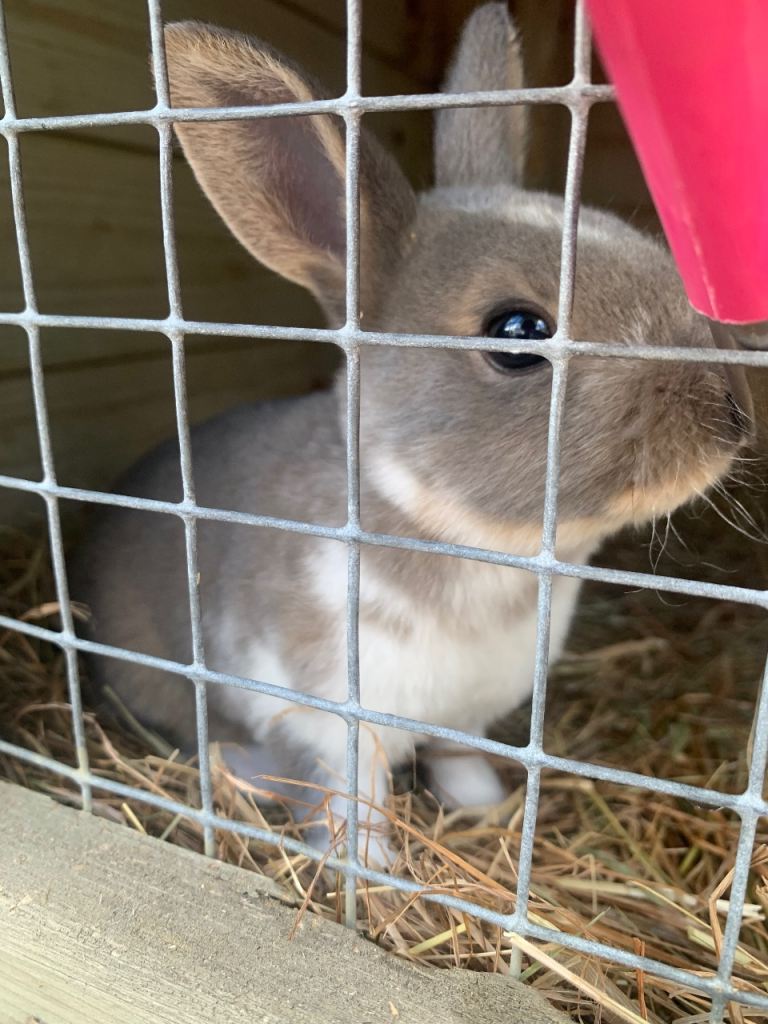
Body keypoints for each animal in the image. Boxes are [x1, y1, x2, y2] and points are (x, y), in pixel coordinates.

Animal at [69, 3, 753, 867]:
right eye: (517, 333)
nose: (732, 416)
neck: (466, 543)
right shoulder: (325, 719)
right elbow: (349, 801)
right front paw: (372, 868)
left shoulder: (465, 718)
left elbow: (458, 762)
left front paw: (486, 807)